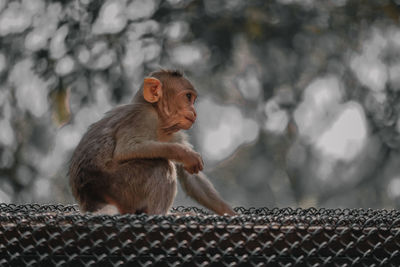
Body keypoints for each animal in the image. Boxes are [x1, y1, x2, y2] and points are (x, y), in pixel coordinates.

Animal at [69, 70, 236, 217]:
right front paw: (186, 154)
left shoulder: (173, 134)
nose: (194, 112)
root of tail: (90, 199)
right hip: (119, 188)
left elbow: (191, 180)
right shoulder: (142, 116)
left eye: (193, 99)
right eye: (188, 97)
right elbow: (126, 149)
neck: (160, 121)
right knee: (160, 166)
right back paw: (161, 214)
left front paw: (228, 212)